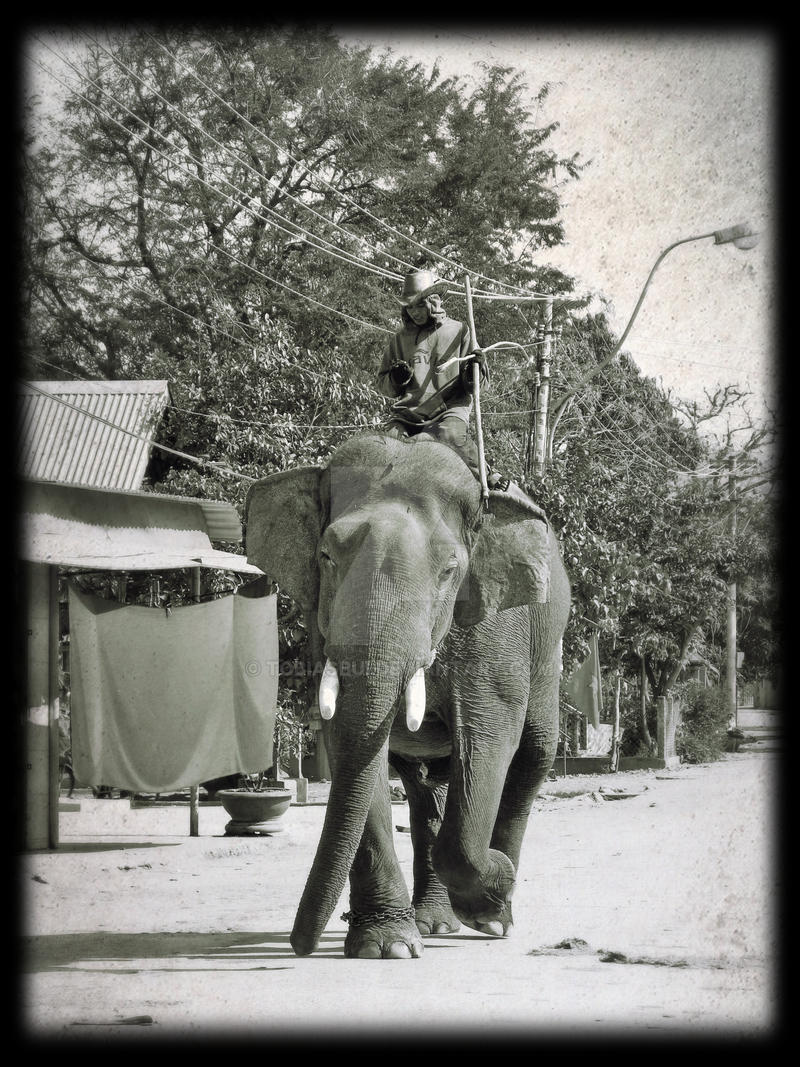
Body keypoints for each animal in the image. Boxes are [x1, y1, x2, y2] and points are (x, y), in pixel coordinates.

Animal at [244, 432, 571, 959]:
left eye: (450, 569)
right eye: (326, 556)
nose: (299, 945)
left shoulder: (495, 630)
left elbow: (488, 739)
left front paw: (491, 892)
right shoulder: (322, 627)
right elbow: (352, 748)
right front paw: (388, 946)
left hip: (546, 645)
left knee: (535, 749)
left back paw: (495, 917)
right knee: (423, 785)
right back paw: (435, 923)